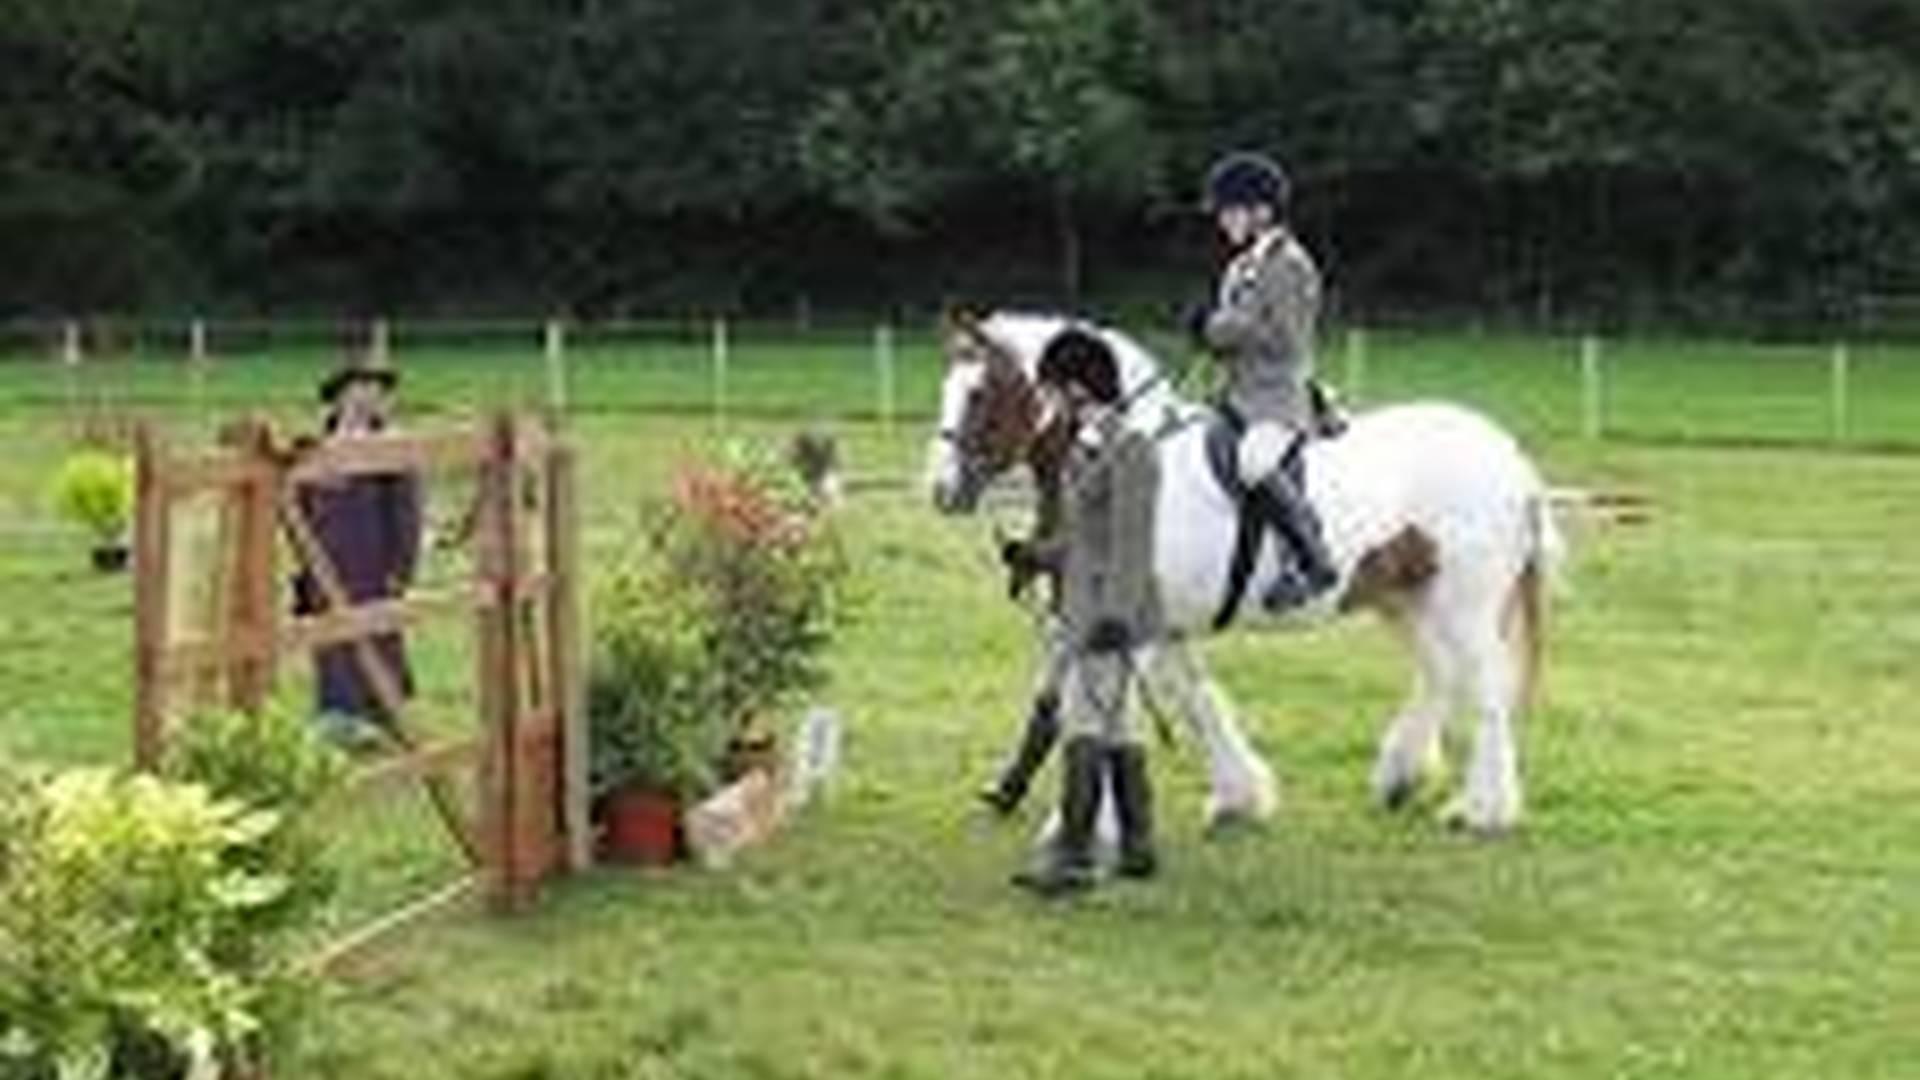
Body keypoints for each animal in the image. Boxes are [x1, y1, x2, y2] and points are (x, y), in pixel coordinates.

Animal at [925, 307, 1559, 826]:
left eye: (979, 393)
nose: (941, 491)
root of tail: (1510, 456)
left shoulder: (1131, 624)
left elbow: (1108, 708)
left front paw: (1076, 824)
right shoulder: (1143, 624)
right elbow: (1178, 698)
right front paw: (1239, 796)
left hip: (1462, 604)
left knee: (1485, 686)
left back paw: (1483, 809)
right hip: (1405, 597)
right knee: (1440, 674)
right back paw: (1400, 778)